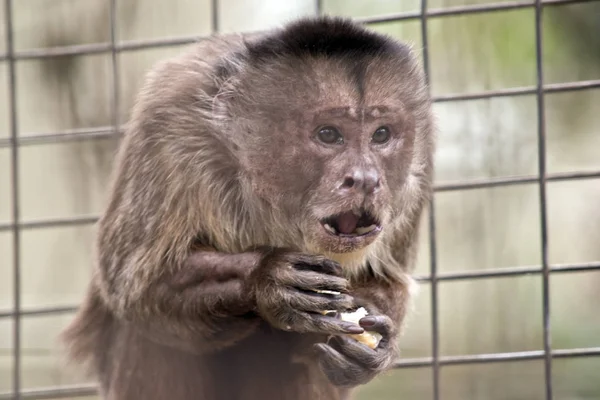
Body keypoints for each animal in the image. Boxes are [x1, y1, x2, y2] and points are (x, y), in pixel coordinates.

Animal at [61, 15, 436, 400]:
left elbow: (387, 282)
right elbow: (135, 289)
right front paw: (266, 278)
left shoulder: (422, 161)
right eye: (329, 134)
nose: (363, 179)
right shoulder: (169, 129)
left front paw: (378, 339)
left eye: (381, 135)